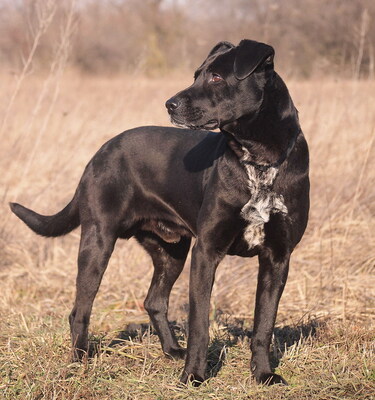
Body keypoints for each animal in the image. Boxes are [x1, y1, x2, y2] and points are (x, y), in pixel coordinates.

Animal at [10, 39, 310, 386]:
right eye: (196, 75)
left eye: (217, 77)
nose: (170, 104)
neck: (259, 160)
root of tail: (101, 151)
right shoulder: (206, 251)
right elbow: (200, 323)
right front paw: (194, 376)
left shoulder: (277, 257)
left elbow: (264, 324)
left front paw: (263, 374)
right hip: (98, 241)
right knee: (80, 310)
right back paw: (79, 361)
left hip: (172, 251)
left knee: (154, 301)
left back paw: (172, 351)